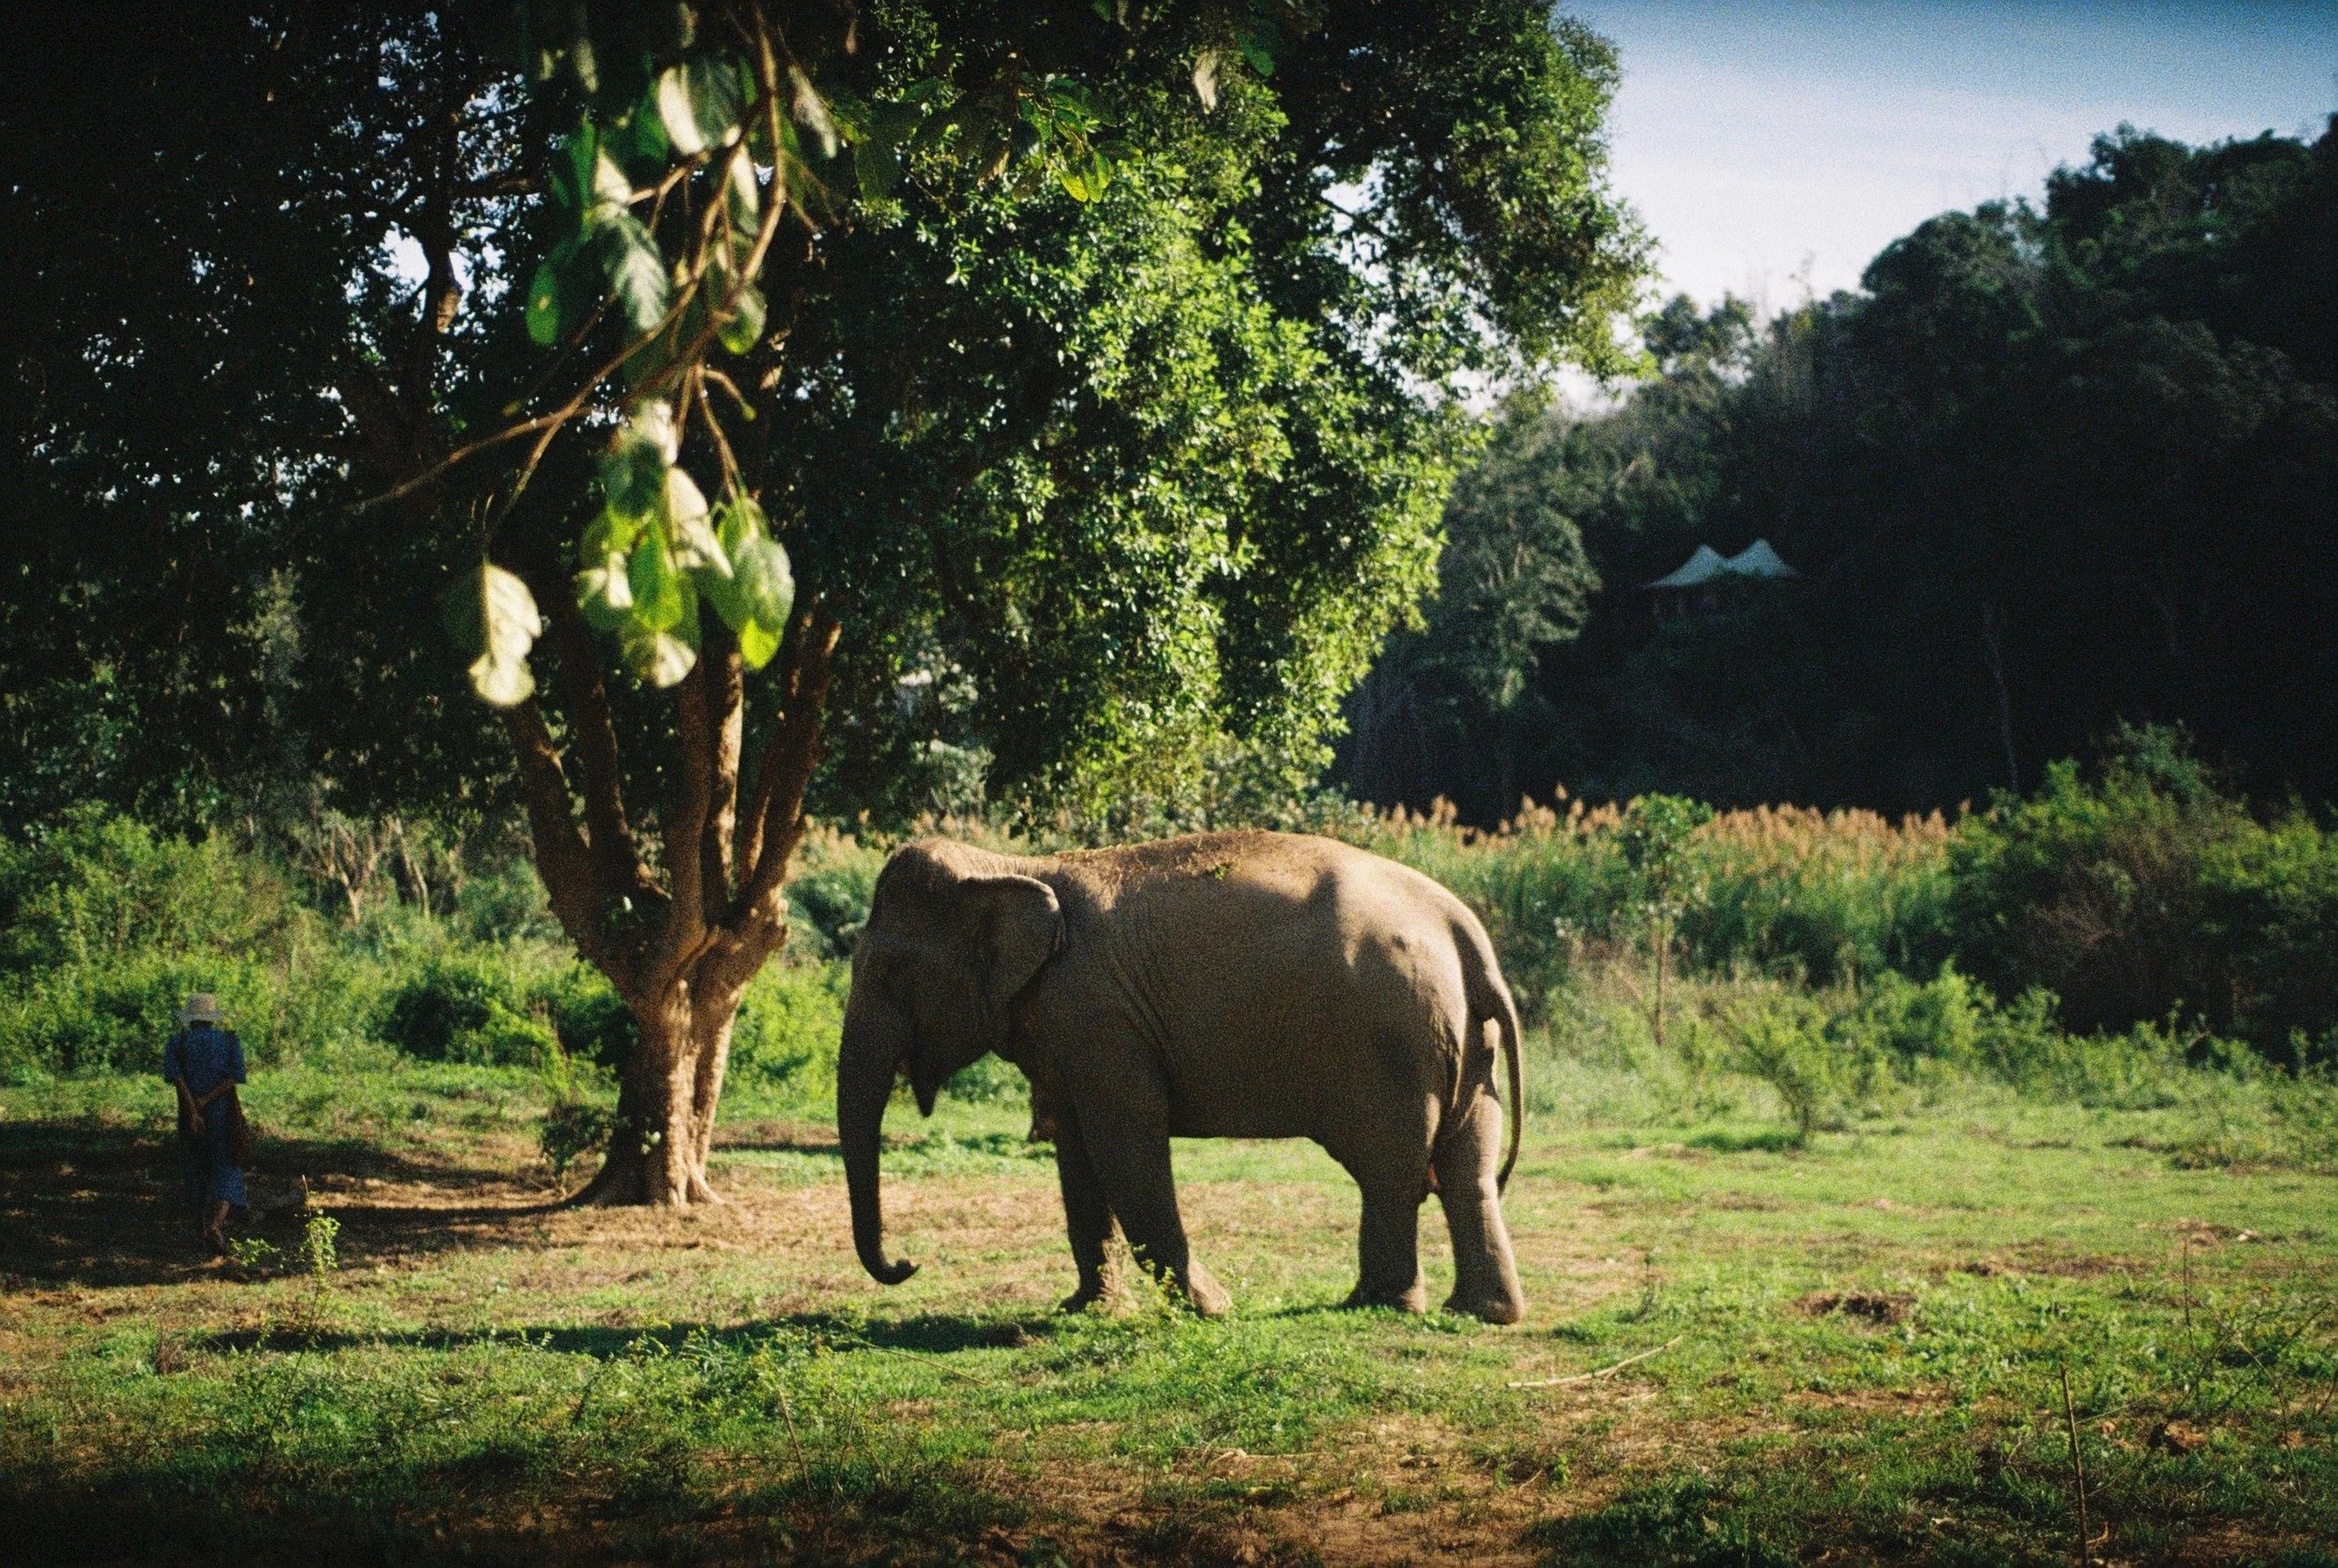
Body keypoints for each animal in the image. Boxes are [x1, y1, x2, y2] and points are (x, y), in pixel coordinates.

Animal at [836, 830, 1528, 1323]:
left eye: (890, 973)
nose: (908, 1262)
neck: (1013, 863)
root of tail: (1465, 933)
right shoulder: (1071, 1029)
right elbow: (1077, 1154)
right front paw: (1086, 1309)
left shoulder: (1101, 1017)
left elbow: (1126, 1145)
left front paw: (1212, 1309)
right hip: (1468, 1044)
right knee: (1467, 1168)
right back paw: (1482, 1313)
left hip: (1393, 1045)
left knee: (1389, 1170)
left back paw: (1374, 1304)